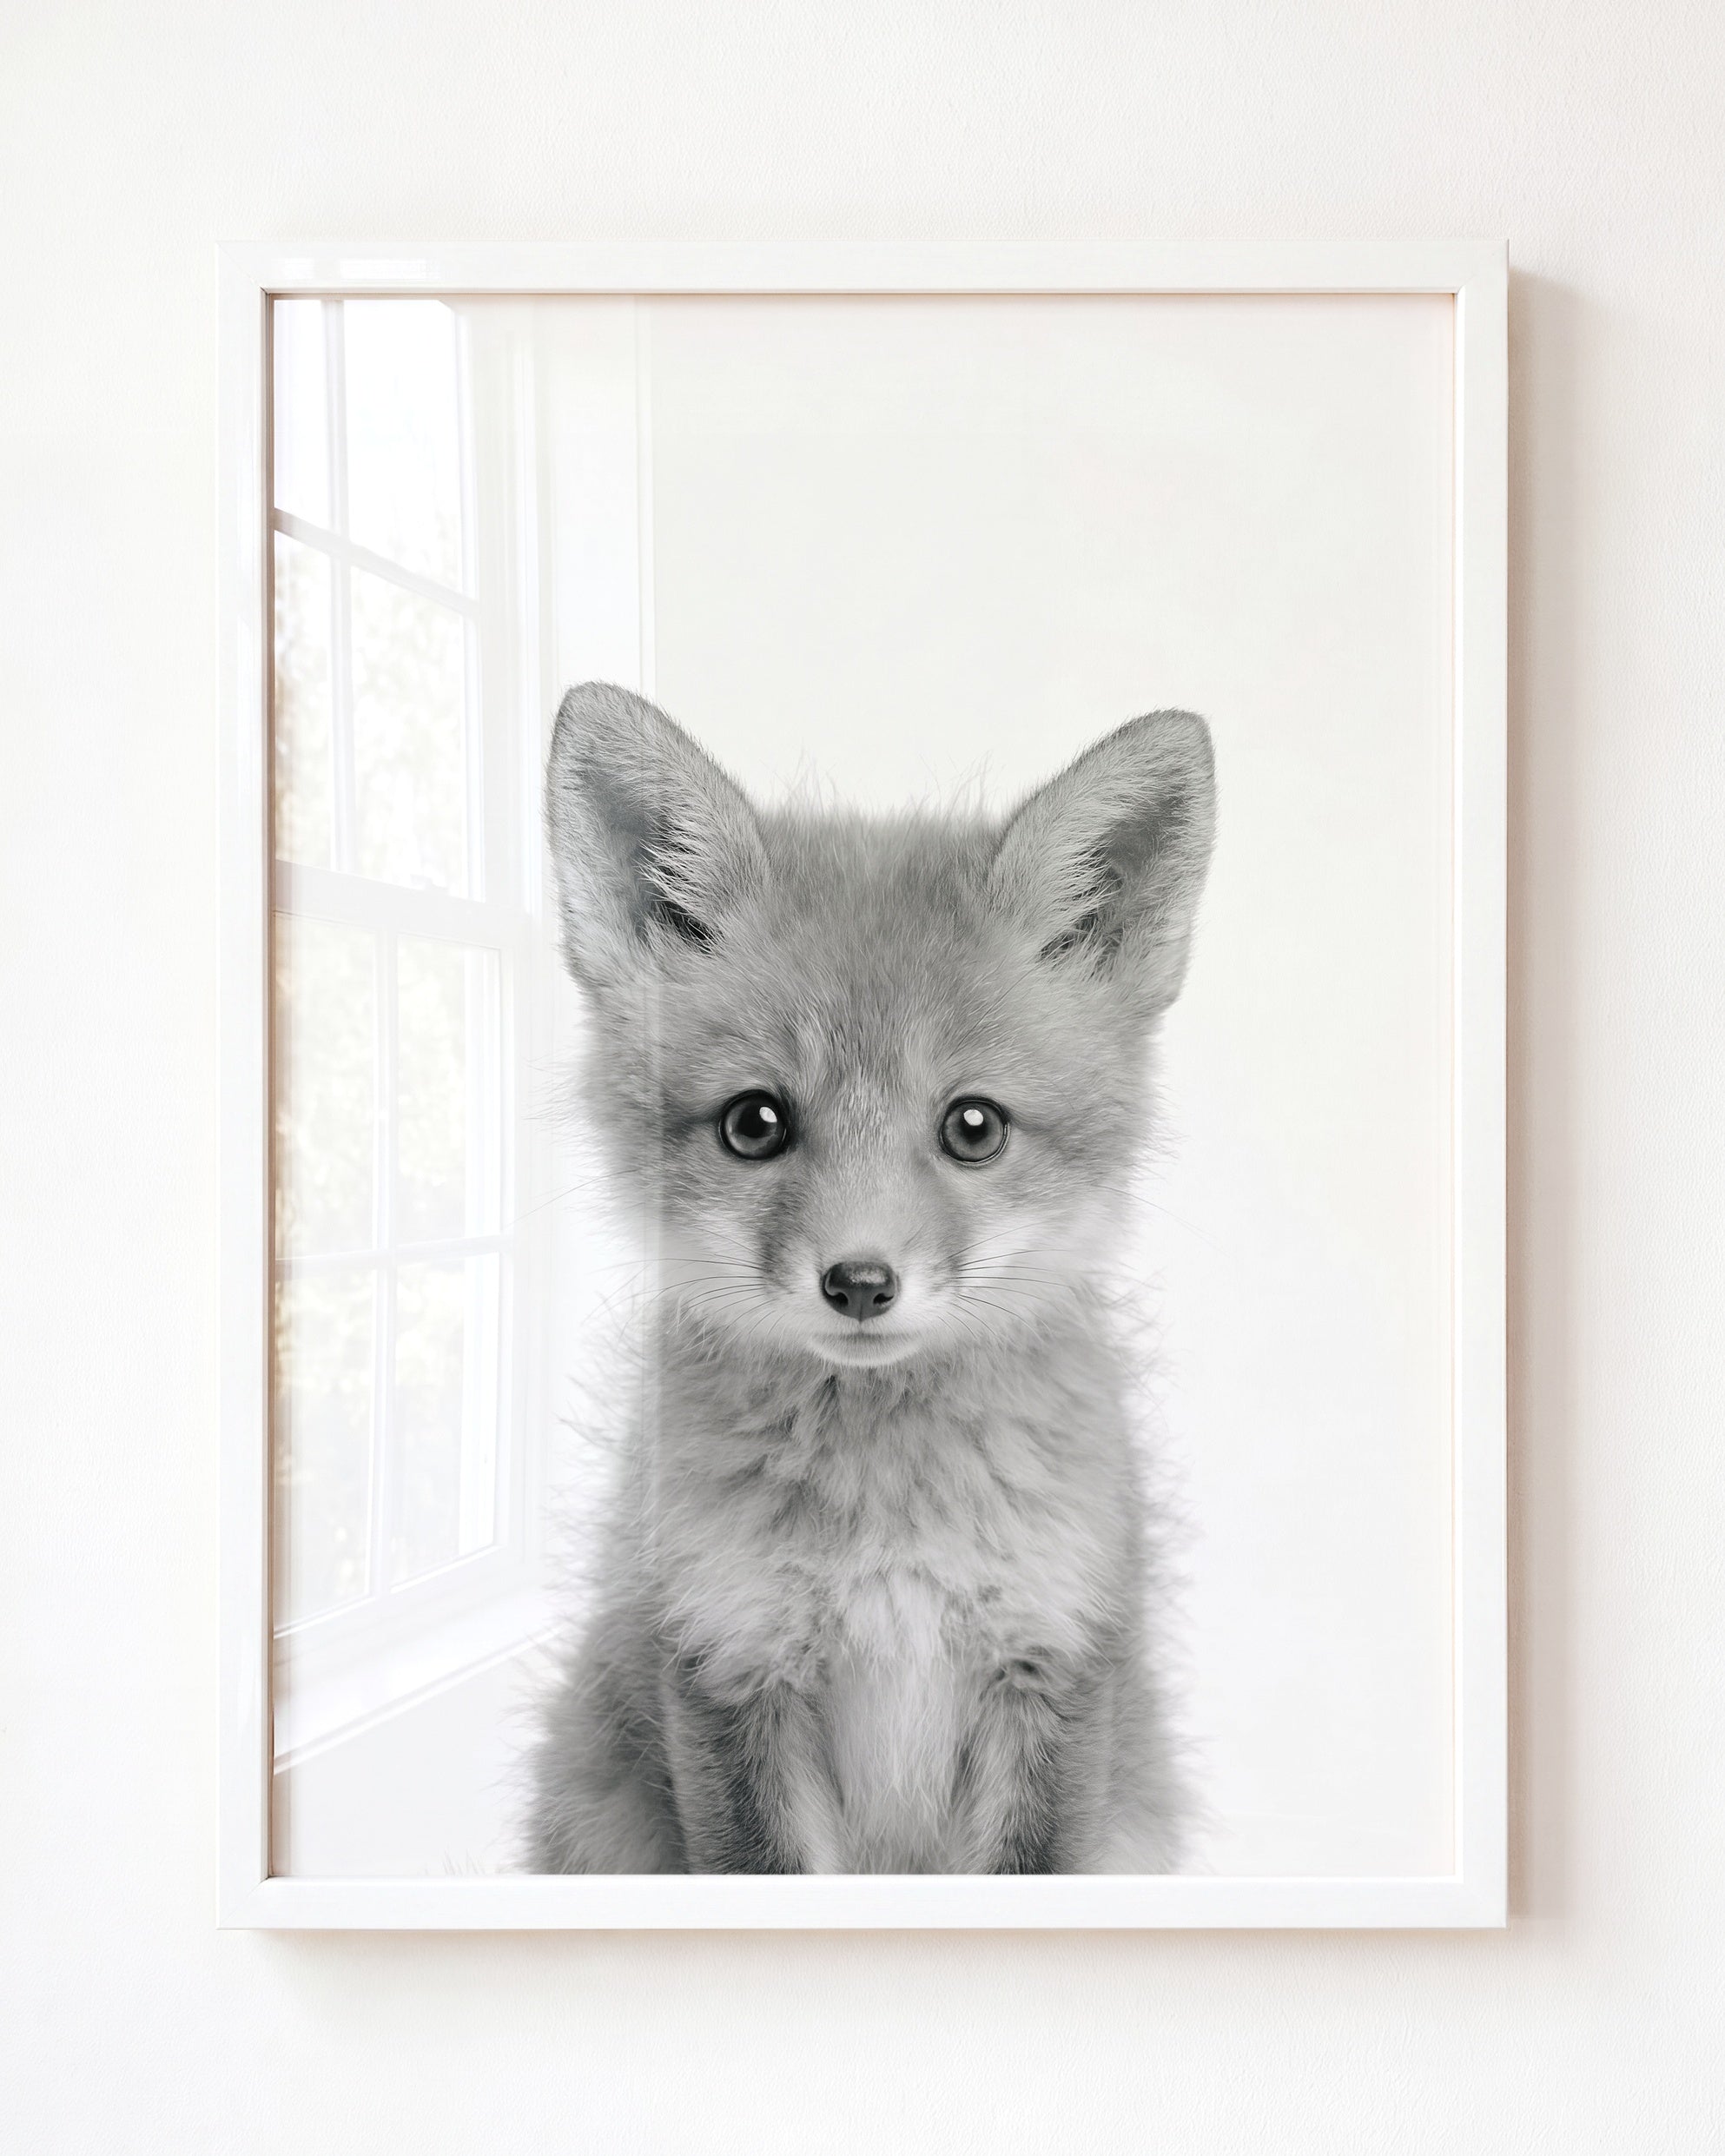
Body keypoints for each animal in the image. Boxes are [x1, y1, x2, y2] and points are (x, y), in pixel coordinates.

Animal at [524, 682, 1216, 1874]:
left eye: (973, 1127)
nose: (858, 1282)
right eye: (755, 1123)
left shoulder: (1053, 1663)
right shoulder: (727, 1662)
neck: (890, 1528)